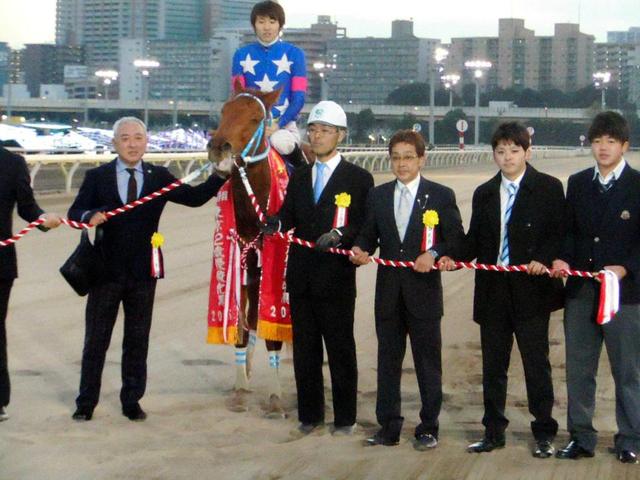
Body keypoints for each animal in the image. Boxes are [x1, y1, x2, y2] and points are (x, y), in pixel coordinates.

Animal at [208, 82, 300, 417]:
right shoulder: (240, 260)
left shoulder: (270, 266)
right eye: (224, 110)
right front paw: (240, 388)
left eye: (255, 118)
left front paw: (274, 396)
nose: (218, 148)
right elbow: (241, 325)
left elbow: (272, 330)